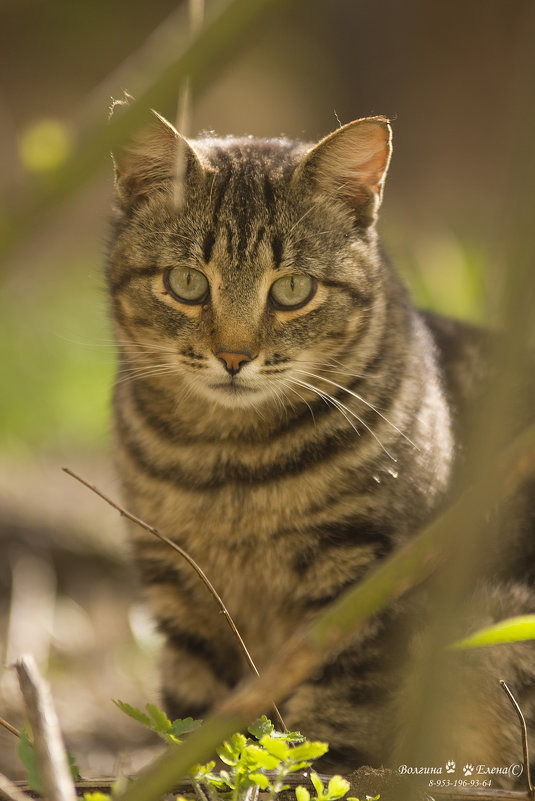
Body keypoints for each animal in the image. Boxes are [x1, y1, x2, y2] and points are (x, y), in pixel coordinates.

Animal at [105, 112, 535, 776]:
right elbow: (196, 720)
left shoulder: (362, 577)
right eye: (186, 283)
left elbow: (334, 715)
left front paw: (318, 772)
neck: (228, 466)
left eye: (292, 290)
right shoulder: (178, 583)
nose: (234, 357)